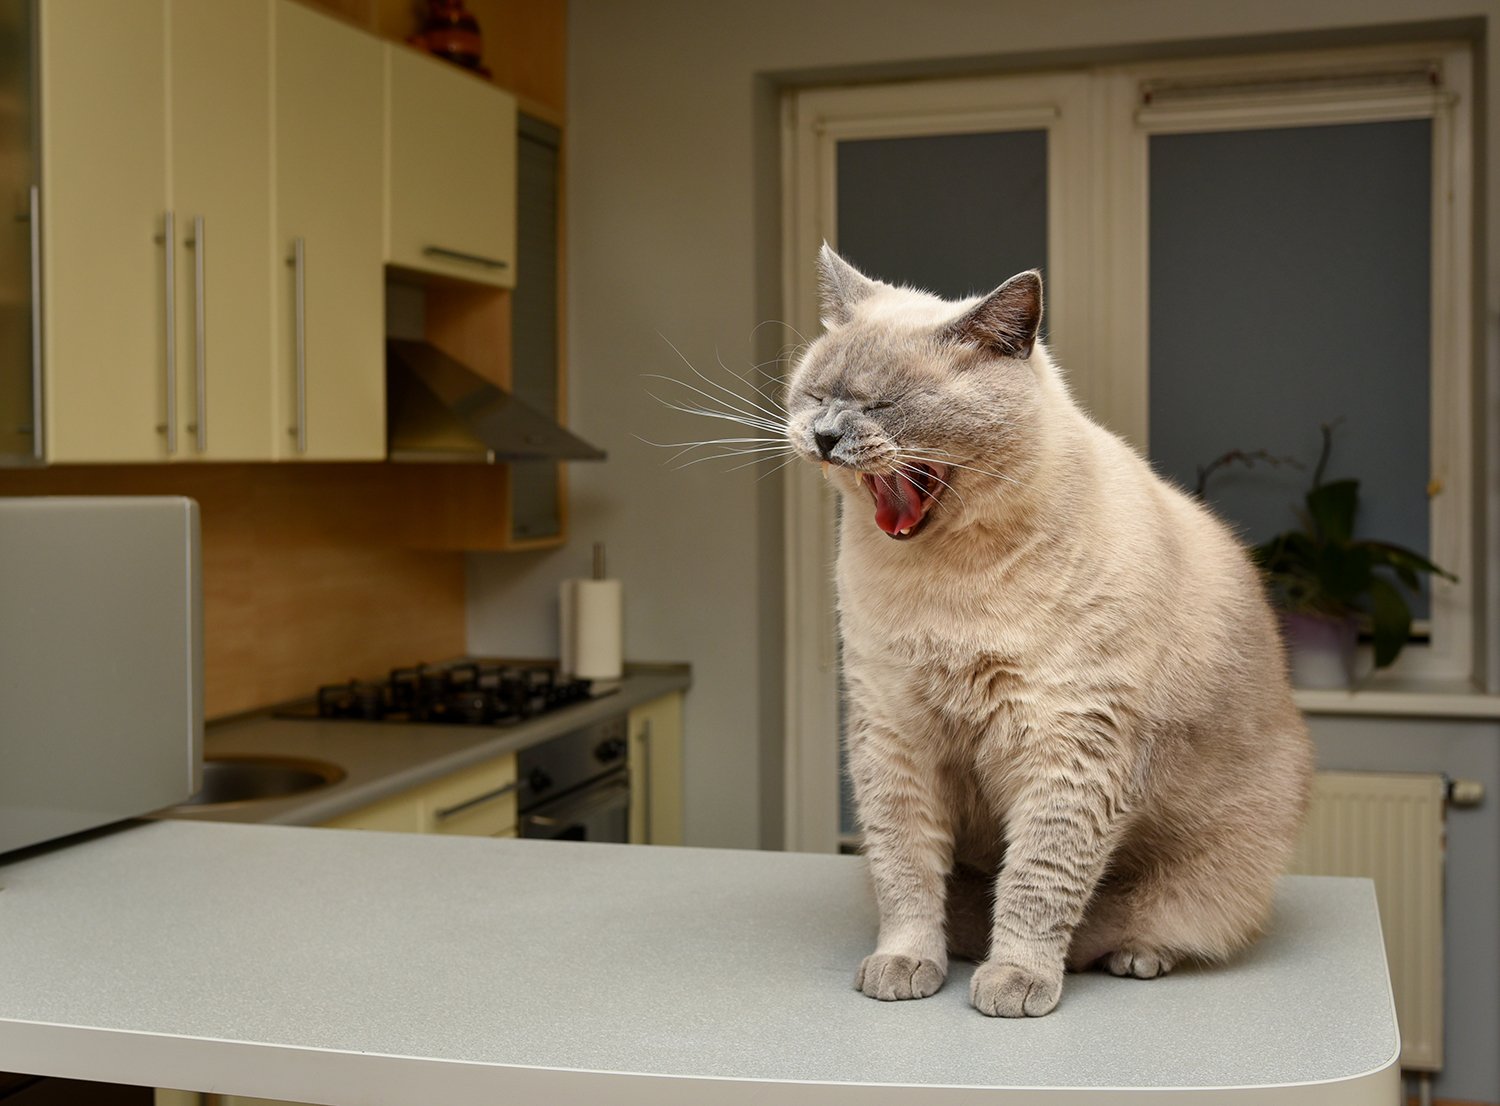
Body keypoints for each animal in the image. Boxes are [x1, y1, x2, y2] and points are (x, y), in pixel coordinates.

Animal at [786, 246, 1314, 1014]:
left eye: (886, 405)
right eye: (816, 394)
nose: (825, 436)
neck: (947, 585)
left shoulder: (1069, 746)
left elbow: (1037, 883)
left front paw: (1015, 982)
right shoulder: (893, 736)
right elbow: (906, 875)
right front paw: (905, 966)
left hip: (1212, 873)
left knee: (1134, 924)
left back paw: (1127, 958)